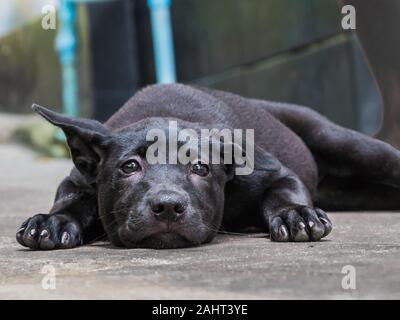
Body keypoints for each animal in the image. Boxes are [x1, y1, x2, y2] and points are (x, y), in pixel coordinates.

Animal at [14, 84, 400, 250]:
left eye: (200, 169)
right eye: (129, 167)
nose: (168, 206)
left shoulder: (277, 173)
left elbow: (284, 193)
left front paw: (296, 215)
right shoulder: (78, 181)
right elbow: (71, 201)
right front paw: (52, 222)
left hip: (348, 144)